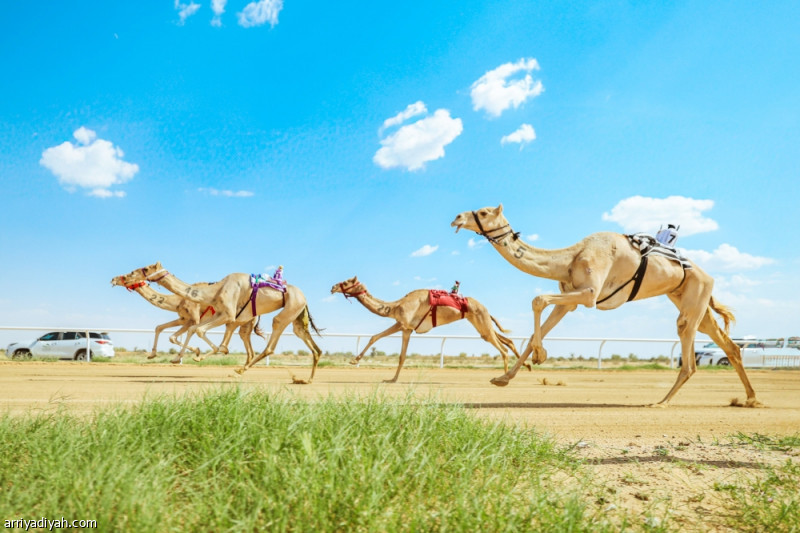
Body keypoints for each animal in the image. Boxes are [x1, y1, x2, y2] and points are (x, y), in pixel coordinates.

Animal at [108, 272, 260, 364]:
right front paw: (152, 355)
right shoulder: (183, 319)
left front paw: (187, 354)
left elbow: (184, 333)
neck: (177, 300)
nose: (113, 279)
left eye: (127, 275)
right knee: (243, 339)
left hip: (236, 318)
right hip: (243, 322)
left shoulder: (194, 318)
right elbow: (163, 330)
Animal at [328, 274, 528, 382]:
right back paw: (523, 367)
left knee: (503, 349)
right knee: (506, 340)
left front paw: (356, 361)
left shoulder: (404, 325)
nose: (333, 287)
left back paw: (503, 378)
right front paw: (391, 378)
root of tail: (485, 308)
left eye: (347, 281)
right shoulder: (404, 327)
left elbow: (392, 349)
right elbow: (384, 344)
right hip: (482, 323)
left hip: (482, 320)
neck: (396, 306)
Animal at [454, 204, 760, 408]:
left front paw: (541, 356)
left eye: (483, 212)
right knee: (728, 344)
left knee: (689, 349)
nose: (456, 217)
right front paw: (504, 377)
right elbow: (535, 328)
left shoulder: (589, 294)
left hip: (695, 298)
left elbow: (537, 299)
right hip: (692, 300)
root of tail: (708, 275)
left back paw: (661, 402)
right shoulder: (570, 299)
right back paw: (751, 399)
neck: (571, 258)